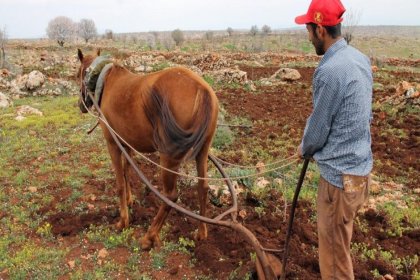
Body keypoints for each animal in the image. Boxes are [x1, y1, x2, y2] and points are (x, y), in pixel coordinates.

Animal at [76, 48, 218, 249]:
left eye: (77, 74)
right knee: (202, 187)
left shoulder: (112, 143)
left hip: (168, 157)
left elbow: (119, 183)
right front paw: (130, 200)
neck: (105, 81)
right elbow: (127, 171)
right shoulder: (127, 142)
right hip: (203, 151)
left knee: (171, 196)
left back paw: (150, 236)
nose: (80, 105)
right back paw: (201, 232)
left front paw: (123, 221)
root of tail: (202, 89)